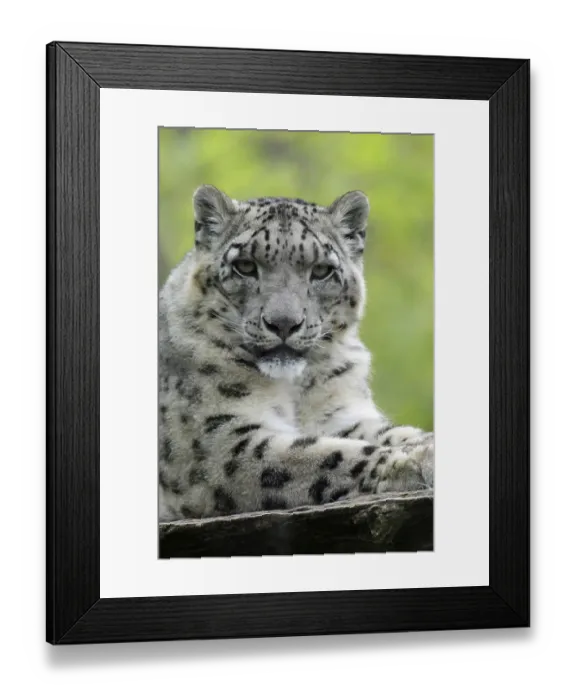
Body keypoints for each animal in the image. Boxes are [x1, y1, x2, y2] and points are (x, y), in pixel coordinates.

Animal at [158, 184, 434, 522]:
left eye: (322, 270)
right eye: (245, 266)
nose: (284, 323)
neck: (295, 389)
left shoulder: (341, 413)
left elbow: (390, 432)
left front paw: (425, 445)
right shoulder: (219, 439)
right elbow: (322, 454)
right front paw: (416, 462)